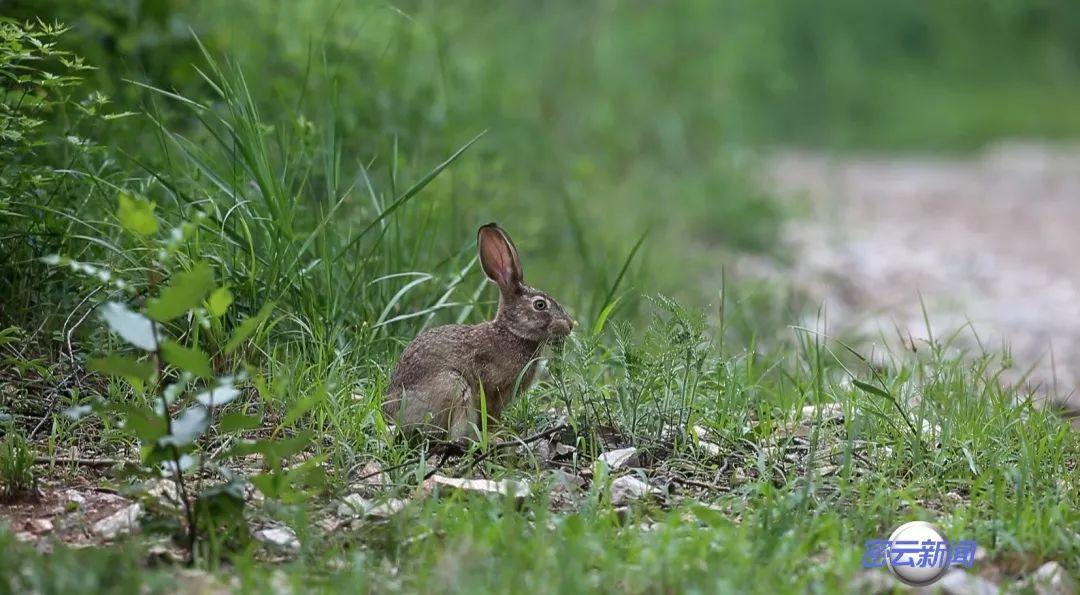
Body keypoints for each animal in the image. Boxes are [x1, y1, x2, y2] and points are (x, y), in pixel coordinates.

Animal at [384, 221, 578, 440]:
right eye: (540, 305)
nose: (569, 325)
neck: (512, 331)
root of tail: (393, 416)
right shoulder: (492, 387)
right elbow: (491, 414)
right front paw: (497, 434)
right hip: (454, 386)